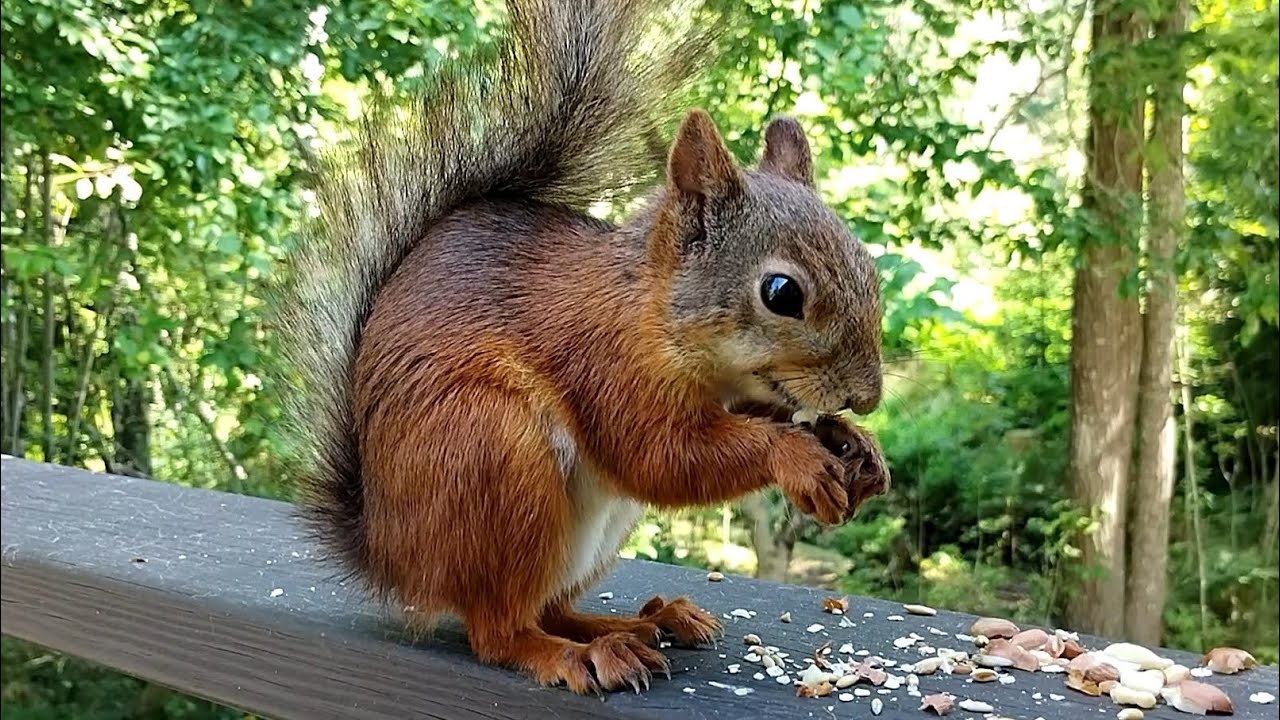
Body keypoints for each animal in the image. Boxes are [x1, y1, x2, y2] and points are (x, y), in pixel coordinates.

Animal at [274, 0, 885, 695]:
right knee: (500, 629)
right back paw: (575, 654)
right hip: (492, 456)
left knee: (551, 607)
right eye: (782, 292)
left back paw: (639, 624)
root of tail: (389, 557)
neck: (651, 311)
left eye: (866, 262)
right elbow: (660, 457)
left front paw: (852, 445)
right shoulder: (607, 364)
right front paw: (797, 457)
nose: (867, 395)